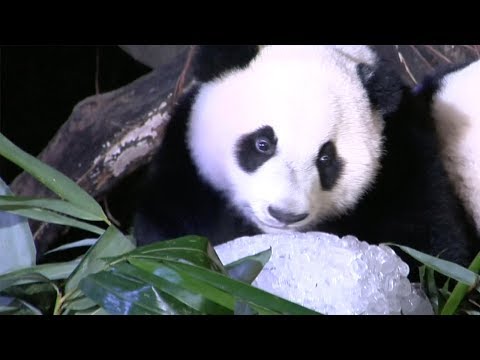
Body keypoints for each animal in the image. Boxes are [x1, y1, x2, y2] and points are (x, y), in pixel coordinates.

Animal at [132, 45, 480, 282]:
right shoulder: (185, 168)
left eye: (326, 157)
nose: (284, 214)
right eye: (262, 143)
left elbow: (428, 251)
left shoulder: (404, 157)